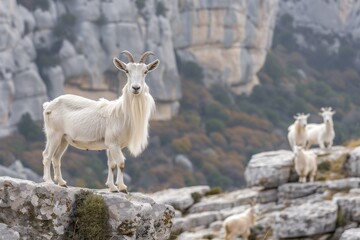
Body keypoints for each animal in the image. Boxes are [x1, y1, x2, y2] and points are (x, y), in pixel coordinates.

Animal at [41, 51, 159, 193]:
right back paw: (49, 182)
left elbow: (112, 165)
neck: (121, 113)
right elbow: (121, 163)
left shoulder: (112, 145)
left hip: (64, 139)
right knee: (47, 155)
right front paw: (122, 187)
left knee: (56, 157)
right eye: (127, 71)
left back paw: (62, 183)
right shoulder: (113, 144)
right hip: (54, 134)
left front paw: (112, 187)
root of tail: (48, 105)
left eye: (145, 71)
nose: (136, 88)